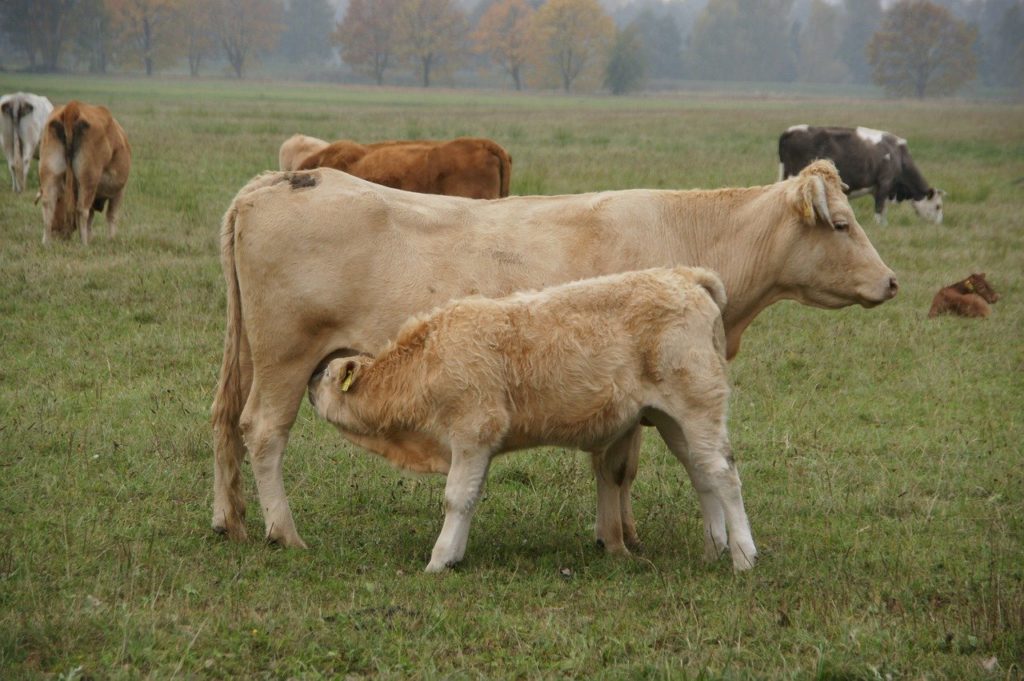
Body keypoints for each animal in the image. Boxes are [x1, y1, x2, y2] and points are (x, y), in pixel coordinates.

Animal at [37, 100, 131, 244]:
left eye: (60, 201)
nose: (55, 230)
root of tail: (73, 107)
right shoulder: (119, 191)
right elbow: (111, 216)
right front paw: (111, 239)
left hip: (49, 172)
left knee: (48, 203)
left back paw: (46, 243)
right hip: (88, 179)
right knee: (82, 210)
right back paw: (84, 244)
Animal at [307, 266, 757, 573]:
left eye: (328, 375)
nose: (310, 384)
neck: (427, 359)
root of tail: (685, 276)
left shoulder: (473, 431)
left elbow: (457, 497)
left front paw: (438, 560)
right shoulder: (478, 446)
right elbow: (471, 496)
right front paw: (455, 555)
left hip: (698, 407)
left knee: (724, 474)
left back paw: (743, 556)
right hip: (671, 419)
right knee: (702, 474)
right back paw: (713, 548)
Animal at [782, 123, 942, 224]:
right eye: (938, 206)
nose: (939, 224)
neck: (899, 155)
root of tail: (790, 131)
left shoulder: (879, 189)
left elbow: (883, 211)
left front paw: (884, 225)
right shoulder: (884, 183)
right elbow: (879, 209)